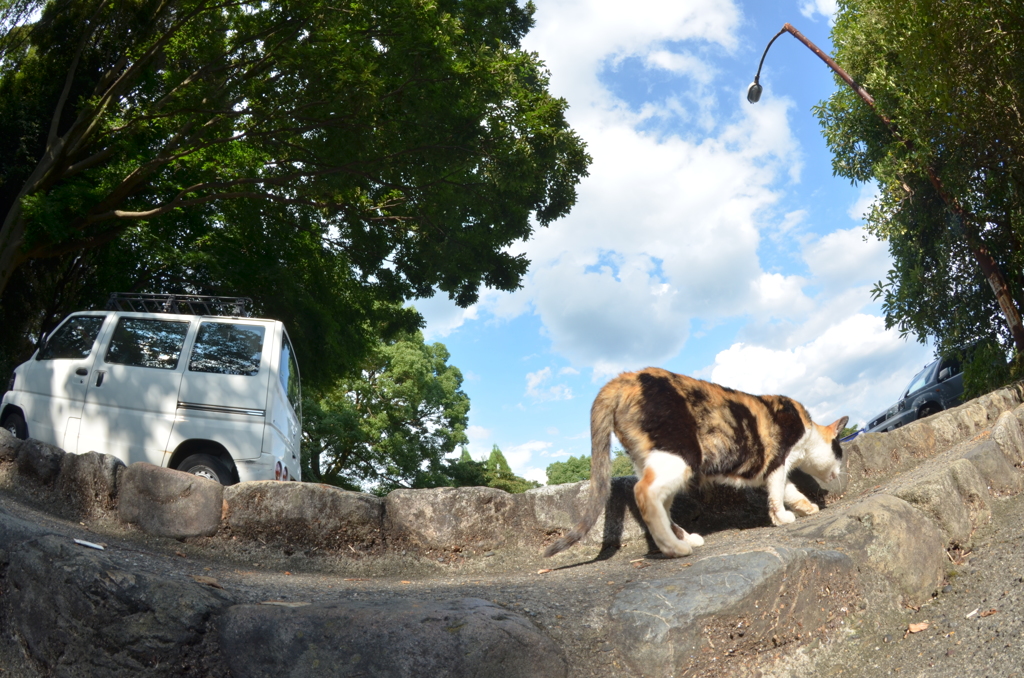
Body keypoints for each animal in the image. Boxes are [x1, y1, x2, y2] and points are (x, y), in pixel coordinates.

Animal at [544, 368, 847, 561]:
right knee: (643, 492)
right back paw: (673, 549)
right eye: (840, 451)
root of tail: (624, 379)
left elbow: (790, 490)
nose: (840, 472)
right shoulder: (778, 462)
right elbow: (777, 493)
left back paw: (685, 538)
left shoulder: (775, 469)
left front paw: (807, 507)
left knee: (661, 505)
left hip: (654, 463)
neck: (808, 432)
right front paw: (782, 518)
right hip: (680, 458)